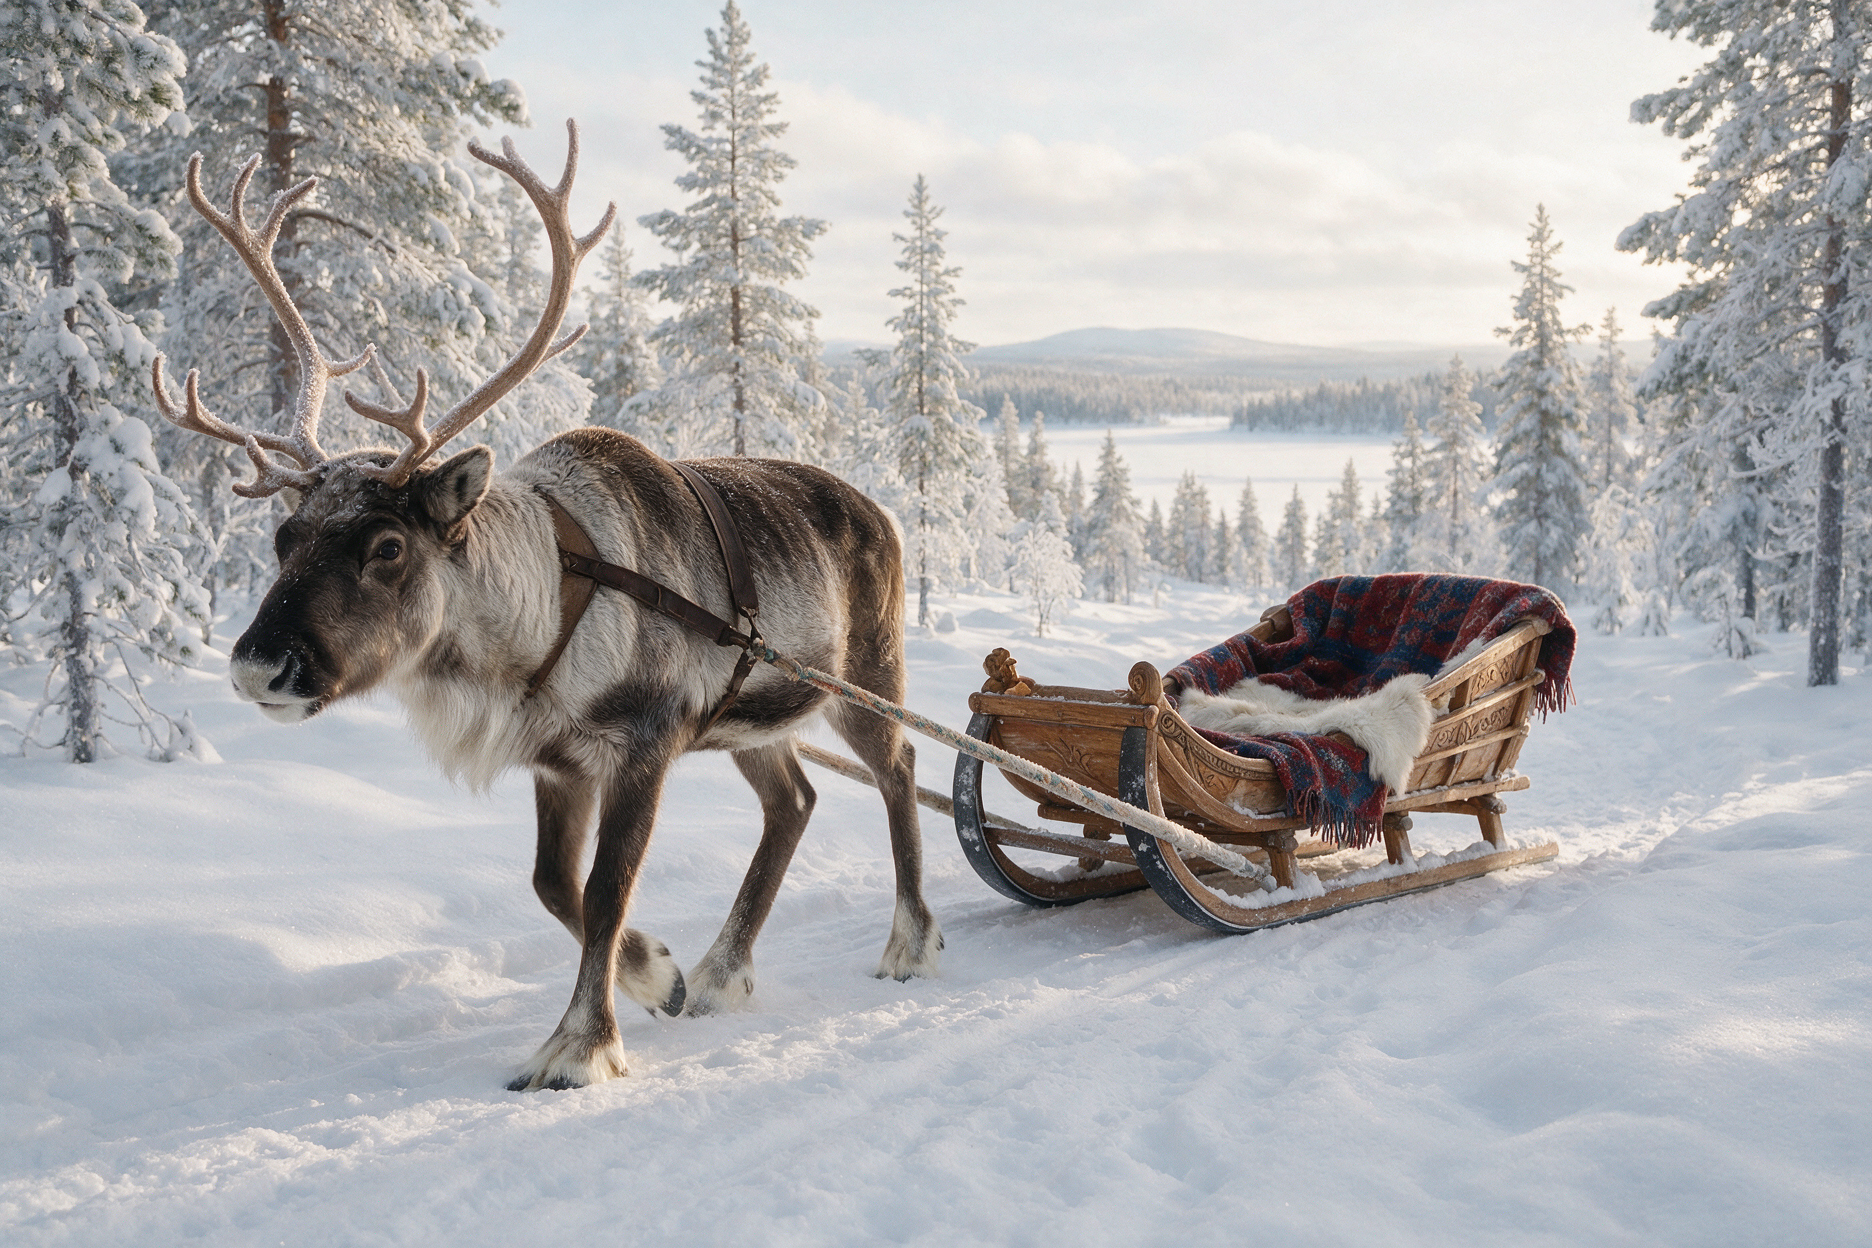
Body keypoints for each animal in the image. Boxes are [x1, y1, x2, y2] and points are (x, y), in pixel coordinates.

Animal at [151, 121, 942, 1092]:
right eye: (281, 536)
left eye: (387, 546)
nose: (258, 665)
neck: (531, 630)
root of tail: (885, 512)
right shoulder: (560, 763)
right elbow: (551, 885)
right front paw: (659, 976)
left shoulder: (646, 740)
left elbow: (605, 889)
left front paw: (578, 1046)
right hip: (753, 717)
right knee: (793, 800)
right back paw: (722, 972)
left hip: (864, 674)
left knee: (900, 765)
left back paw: (908, 941)